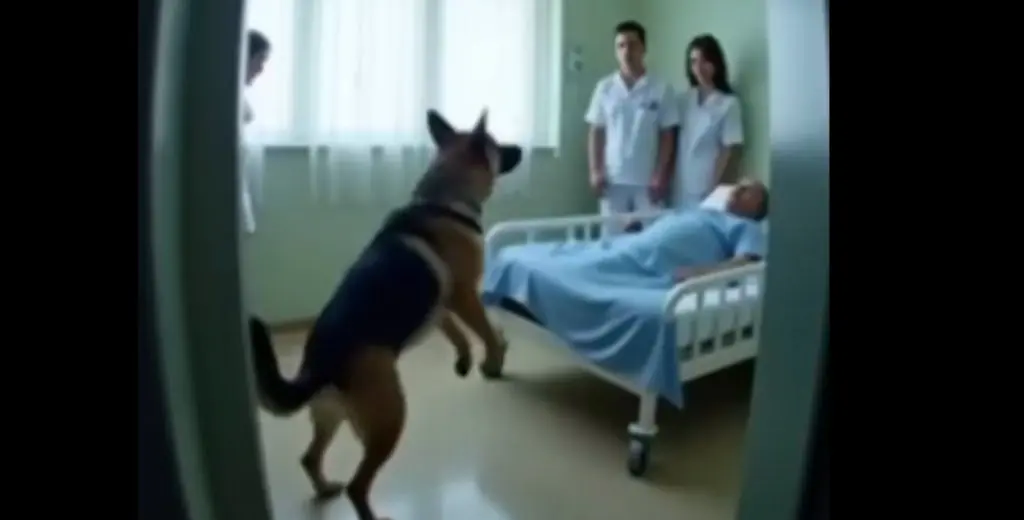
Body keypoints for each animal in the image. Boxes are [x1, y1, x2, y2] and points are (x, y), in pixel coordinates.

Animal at [248, 109, 521, 520]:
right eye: (497, 145)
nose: (520, 149)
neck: (444, 198)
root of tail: (316, 367)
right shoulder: (463, 296)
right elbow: (485, 329)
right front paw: (493, 358)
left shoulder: (440, 305)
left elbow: (455, 331)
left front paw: (464, 359)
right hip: (390, 417)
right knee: (358, 486)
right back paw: (370, 512)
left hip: (332, 418)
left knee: (309, 458)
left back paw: (325, 487)